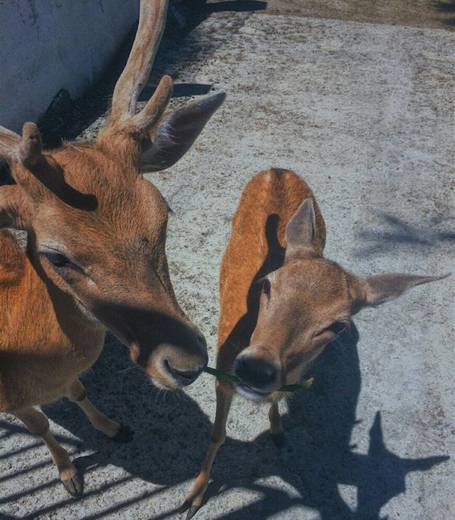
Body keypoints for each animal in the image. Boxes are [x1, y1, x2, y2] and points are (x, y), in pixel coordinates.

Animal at [0, 0, 225, 496]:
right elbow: (41, 426)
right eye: (57, 256)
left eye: (163, 215)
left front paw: (114, 428)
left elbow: (80, 391)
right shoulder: (9, 401)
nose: (187, 364)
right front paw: (70, 477)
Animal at [183, 169, 448, 516]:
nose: (255, 369)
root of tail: (277, 169)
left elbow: (278, 398)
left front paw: (278, 430)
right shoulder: (222, 372)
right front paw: (193, 497)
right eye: (267, 284)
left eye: (338, 325)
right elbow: (217, 433)